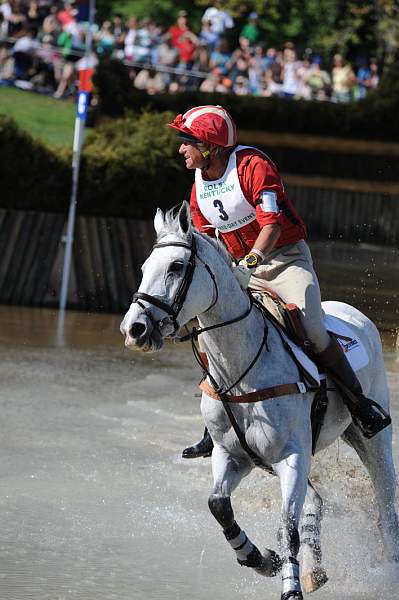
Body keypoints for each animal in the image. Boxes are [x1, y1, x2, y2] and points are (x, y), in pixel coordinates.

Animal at [119, 203, 399, 600]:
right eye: (144, 268)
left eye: (175, 266)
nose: (134, 329)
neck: (242, 367)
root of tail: (355, 314)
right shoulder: (233, 456)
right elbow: (219, 506)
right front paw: (263, 560)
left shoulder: (291, 456)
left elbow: (288, 526)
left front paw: (290, 586)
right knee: (315, 501)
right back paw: (314, 571)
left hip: (369, 439)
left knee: (385, 505)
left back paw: (386, 569)